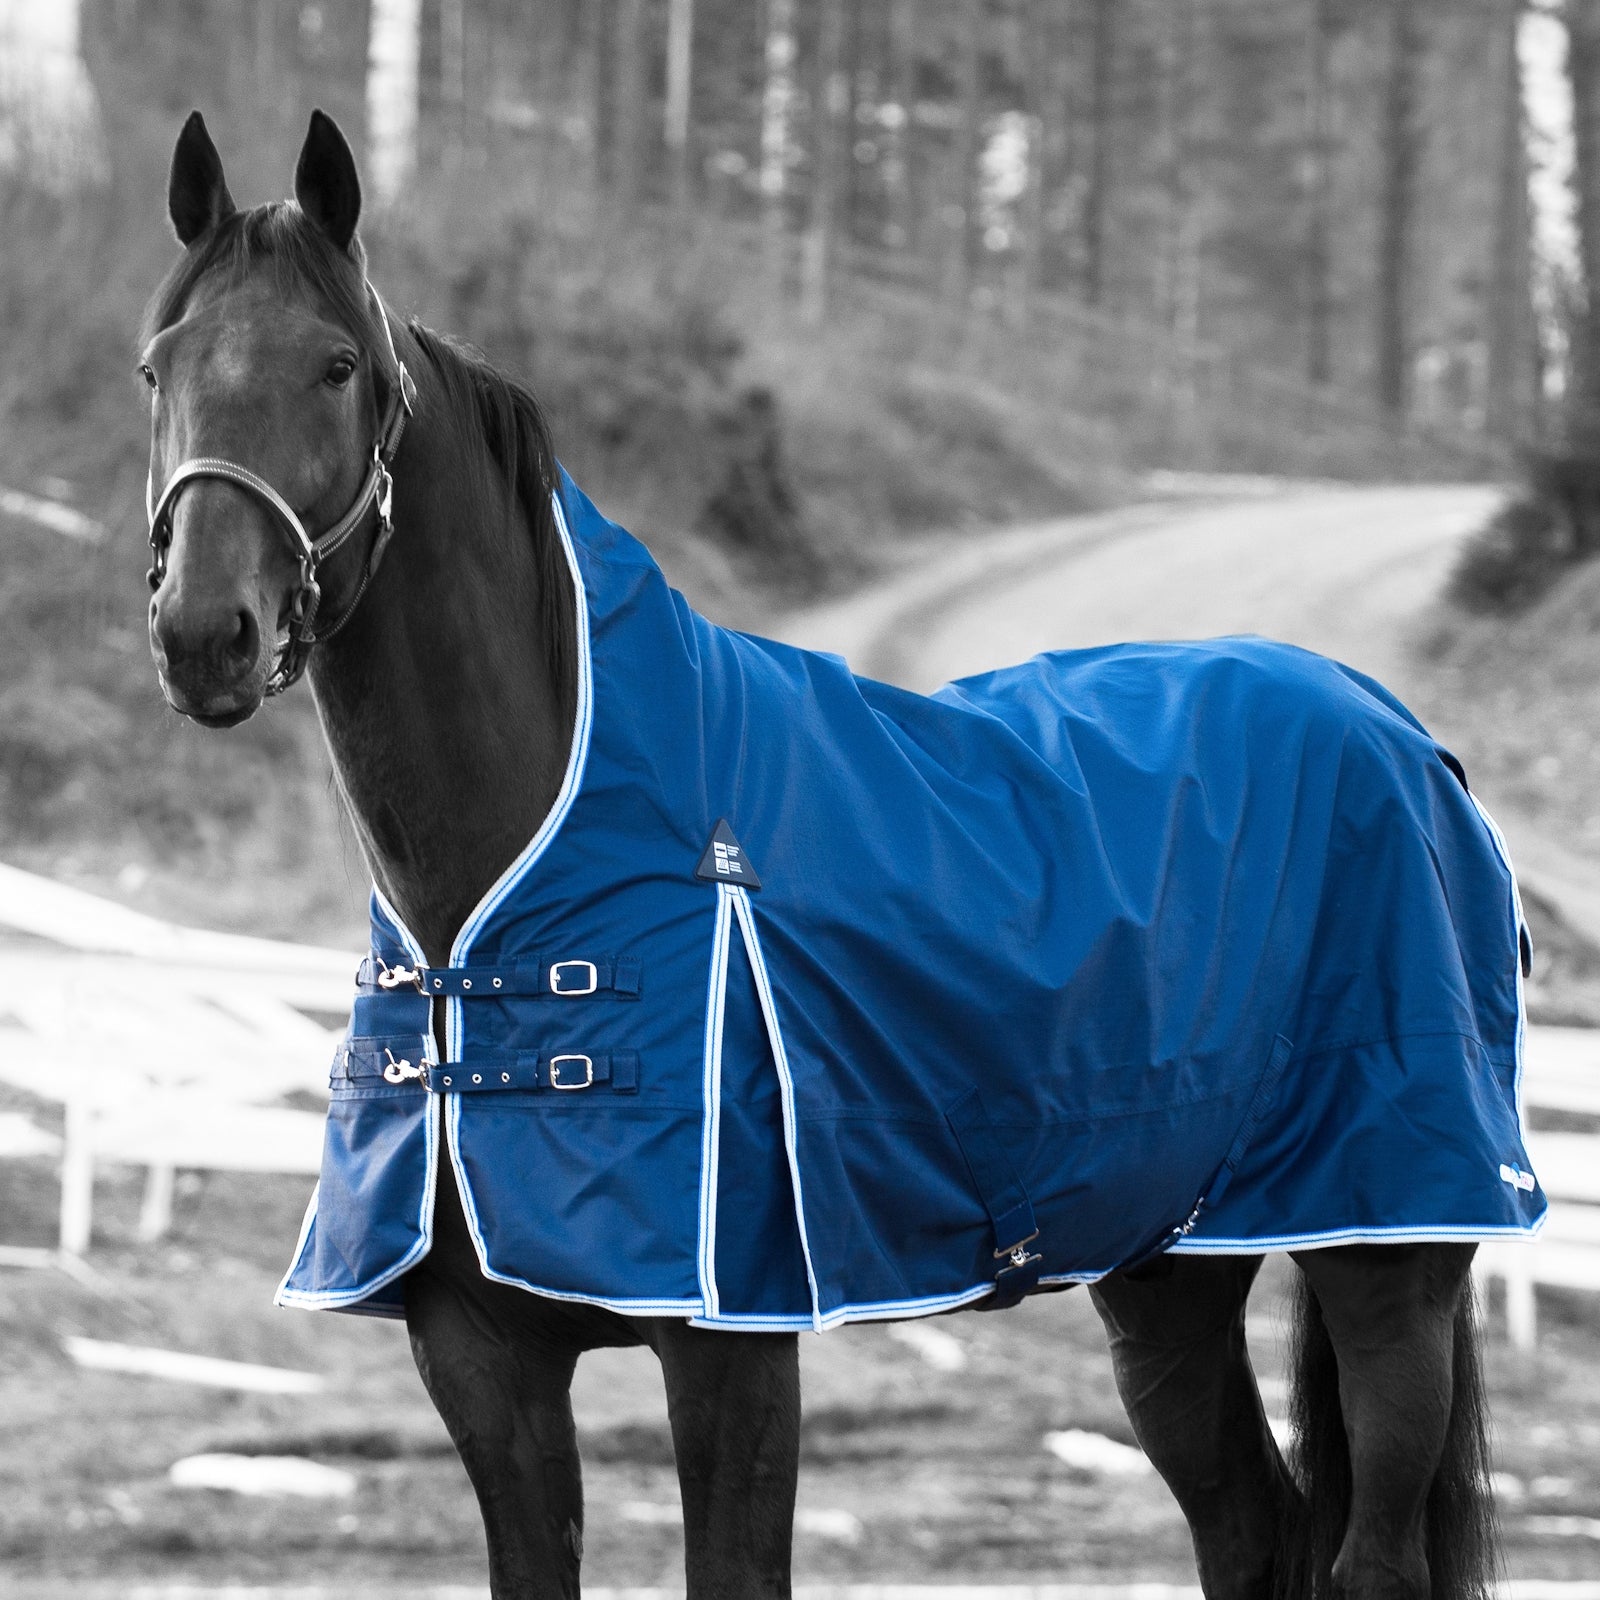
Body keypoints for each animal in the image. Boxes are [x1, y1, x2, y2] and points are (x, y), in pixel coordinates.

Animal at [138, 109, 1525, 1600]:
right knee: (1248, 1527)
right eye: (158, 368)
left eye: (334, 367)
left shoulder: (733, 1354)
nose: (205, 632)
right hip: (1174, 1273)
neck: (506, 910)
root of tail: (1400, 735)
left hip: (1389, 1258)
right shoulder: (481, 1364)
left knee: (1369, 1550)